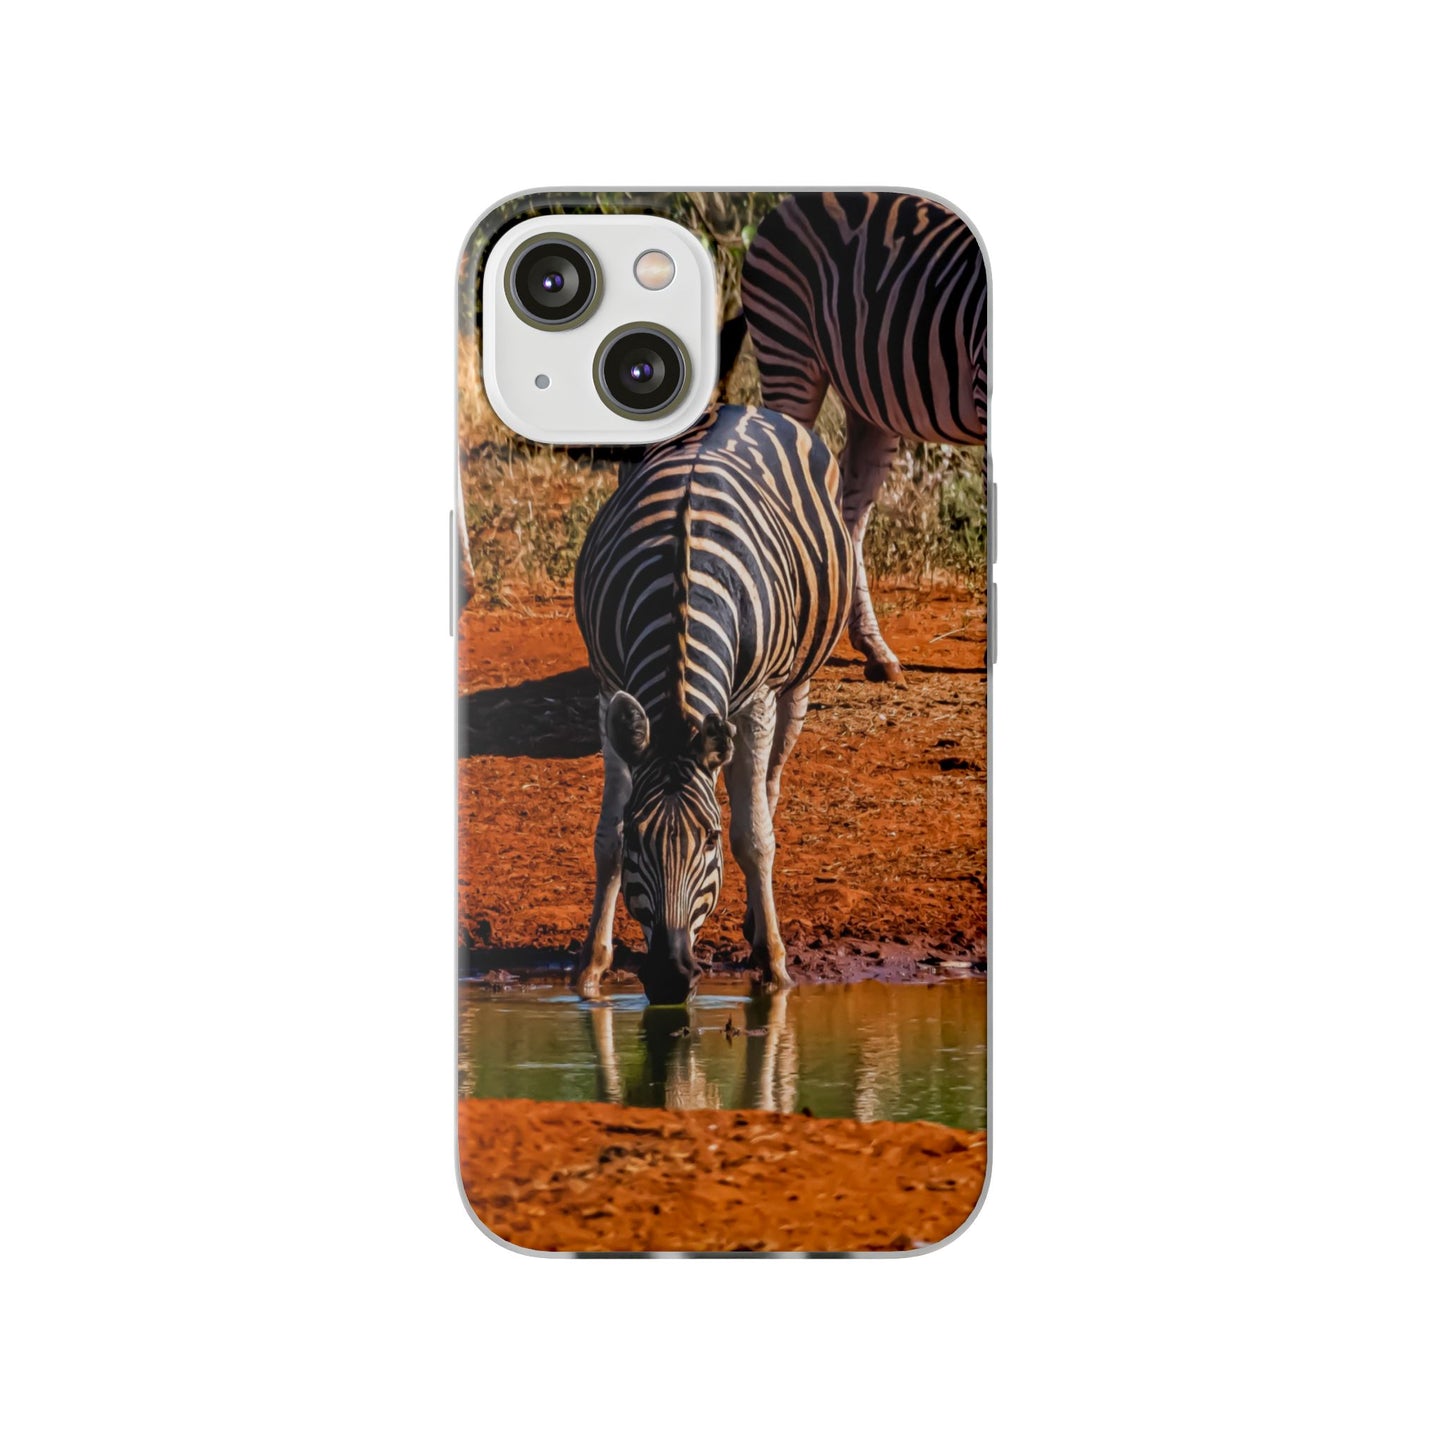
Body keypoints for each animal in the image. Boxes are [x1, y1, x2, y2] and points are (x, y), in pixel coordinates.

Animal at [573, 403, 853, 1004]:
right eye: (640, 836)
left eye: (709, 840)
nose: (670, 978)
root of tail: (742, 406)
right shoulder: (608, 688)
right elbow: (605, 839)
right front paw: (591, 967)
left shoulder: (758, 700)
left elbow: (755, 838)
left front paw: (774, 966)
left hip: (794, 683)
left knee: (768, 788)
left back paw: (756, 923)